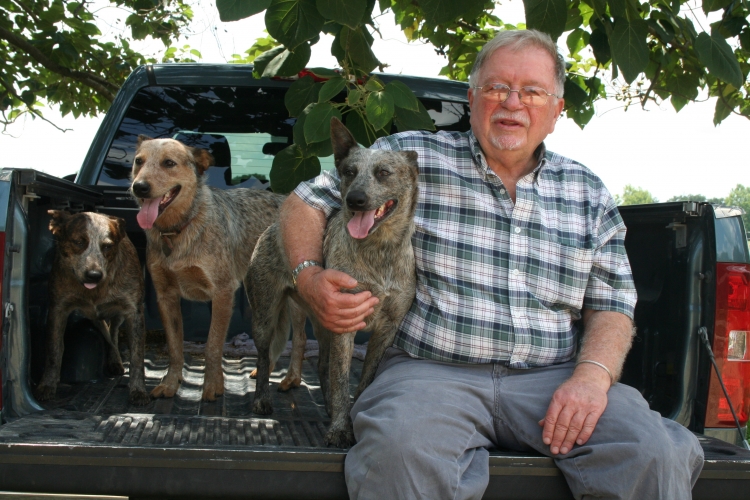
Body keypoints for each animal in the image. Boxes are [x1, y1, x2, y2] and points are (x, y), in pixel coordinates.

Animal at [35, 211, 151, 406]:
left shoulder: (133, 312)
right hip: (95, 317)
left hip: (119, 314)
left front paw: (138, 390)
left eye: (108, 246)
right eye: (78, 242)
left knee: (113, 333)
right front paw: (47, 385)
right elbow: (54, 350)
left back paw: (115, 361)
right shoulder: (58, 309)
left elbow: (137, 356)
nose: (94, 275)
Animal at [248, 118, 420, 450]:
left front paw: (352, 414)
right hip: (265, 316)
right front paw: (341, 428)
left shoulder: (386, 329)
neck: (379, 250)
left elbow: (363, 380)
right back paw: (261, 400)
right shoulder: (345, 323)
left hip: (322, 325)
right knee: (264, 359)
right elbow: (341, 379)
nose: (355, 200)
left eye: (383, 172)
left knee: (322, 366)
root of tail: (273, 228)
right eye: (349, 171)